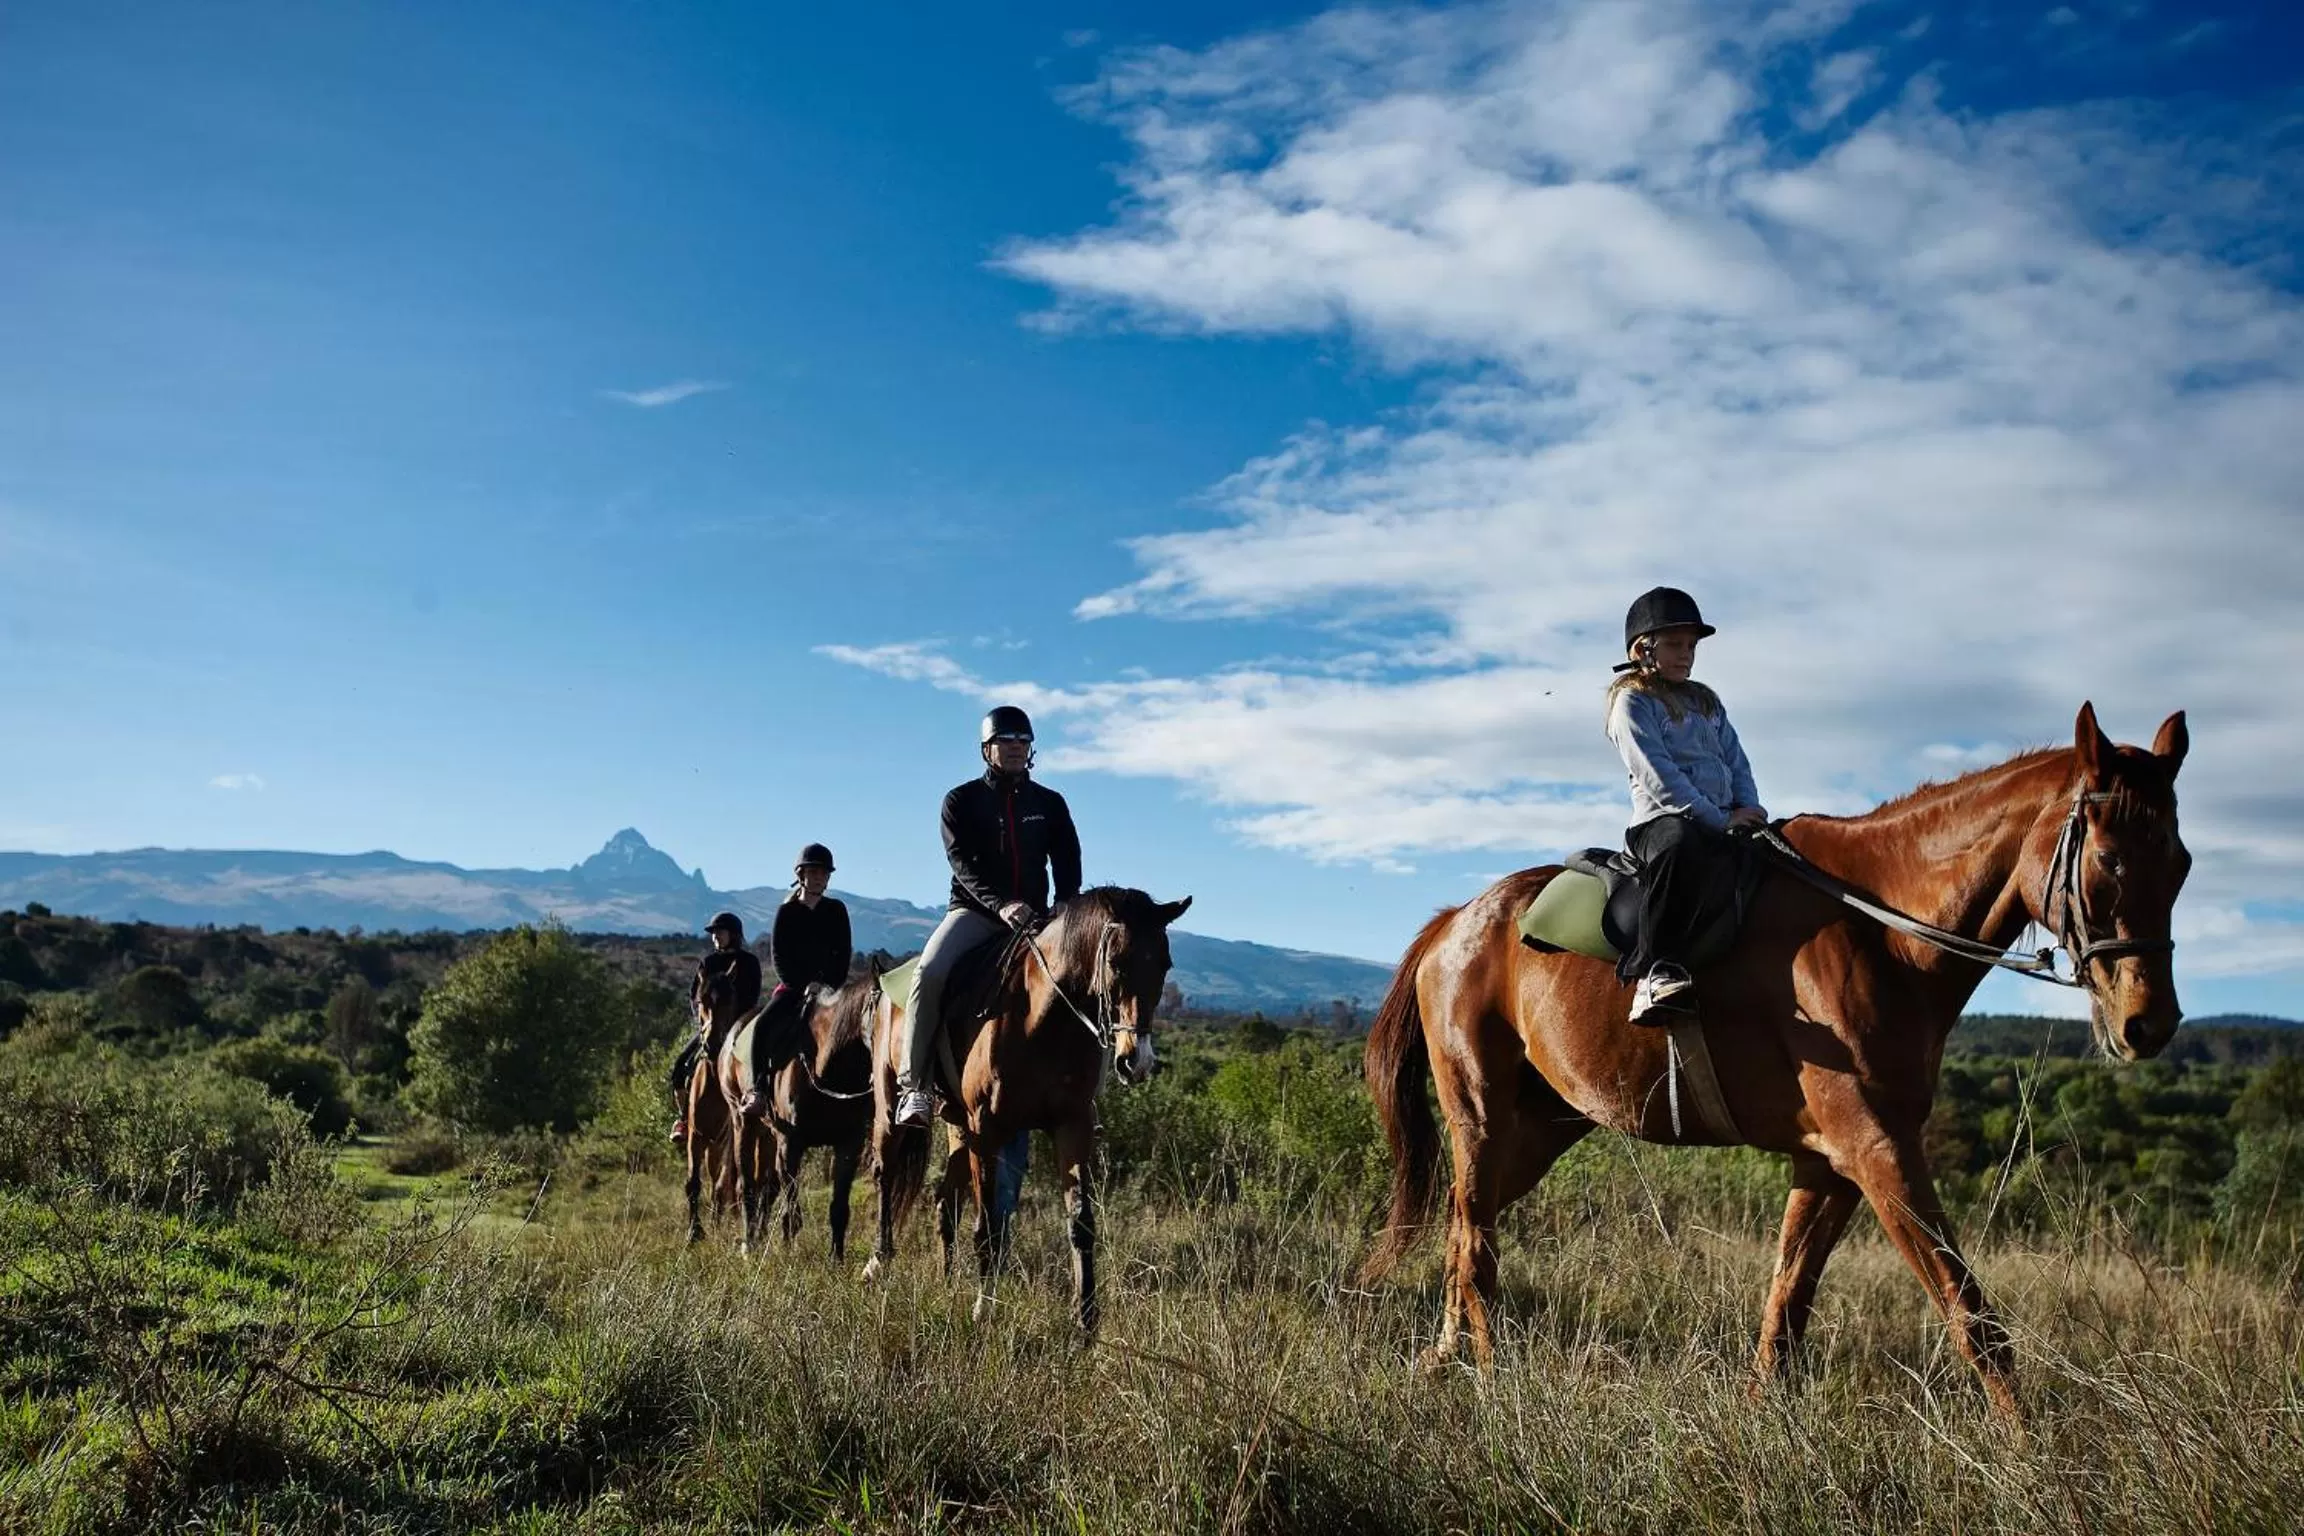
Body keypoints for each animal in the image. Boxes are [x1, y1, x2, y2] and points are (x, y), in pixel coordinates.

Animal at [716, 978, 877, 1259]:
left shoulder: (849, 1145)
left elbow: (839, 1208)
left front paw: (836, 1260)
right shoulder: (791, 1143)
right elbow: (791, 1211)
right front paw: (789, 1255)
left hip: (768, 1135)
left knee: (767, 1188)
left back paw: (759, 1238)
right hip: (743, 1122)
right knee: (746, 1185)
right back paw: (749, 1245)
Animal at [863, 886, 1190, 1334]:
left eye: (1165, 964)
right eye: (1115, 961)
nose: (1135, 1062)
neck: (1045, 1019)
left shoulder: (1072, 1125)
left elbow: (1080, 1222)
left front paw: (1086, 1322)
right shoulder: (987, 1130)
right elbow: (988, 1227)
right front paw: (983, 1309)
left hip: (958, 1128)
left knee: (945, 1200)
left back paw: (948, 1282)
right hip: (890, 1107)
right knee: (886, 1174)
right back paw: (877, 1263)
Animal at [1362, 704, 2189, 1414]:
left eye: (2180, 862)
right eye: (2110, 860)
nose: (2150, 1024)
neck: (1881, 932)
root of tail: (1455, 923)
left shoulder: (1829, 1163)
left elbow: (1788, 1302)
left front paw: (1762, 1414)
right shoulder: (1879, 1151)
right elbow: (1972, 1315)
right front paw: (2029, 1451)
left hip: (1540, 1129)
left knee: (1461, 1226)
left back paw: (1441, 1359)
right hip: (1482, 1118)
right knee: (1475, 1244)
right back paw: (1489, 1377)